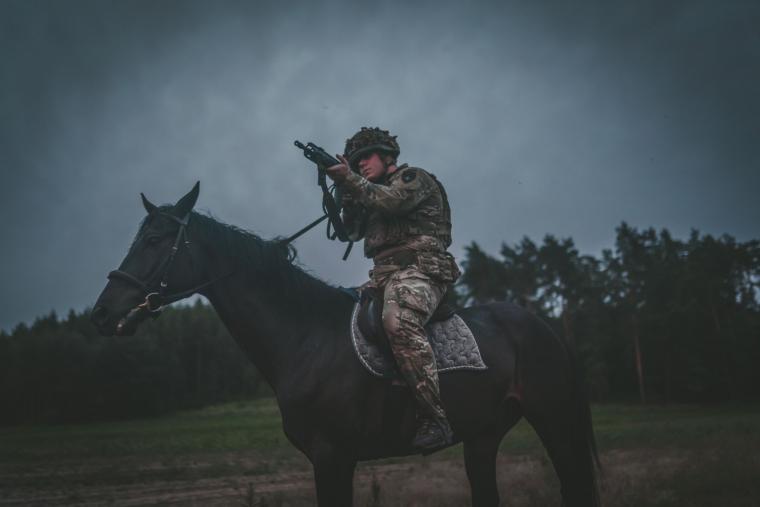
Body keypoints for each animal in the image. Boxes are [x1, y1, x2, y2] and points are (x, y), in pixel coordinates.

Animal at [90, 185, 600, 507]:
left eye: (155, 239)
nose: (101, 313)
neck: (305, 339)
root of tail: (544, 327)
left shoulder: (333, 457)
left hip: (554, 420)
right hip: (482, 437)